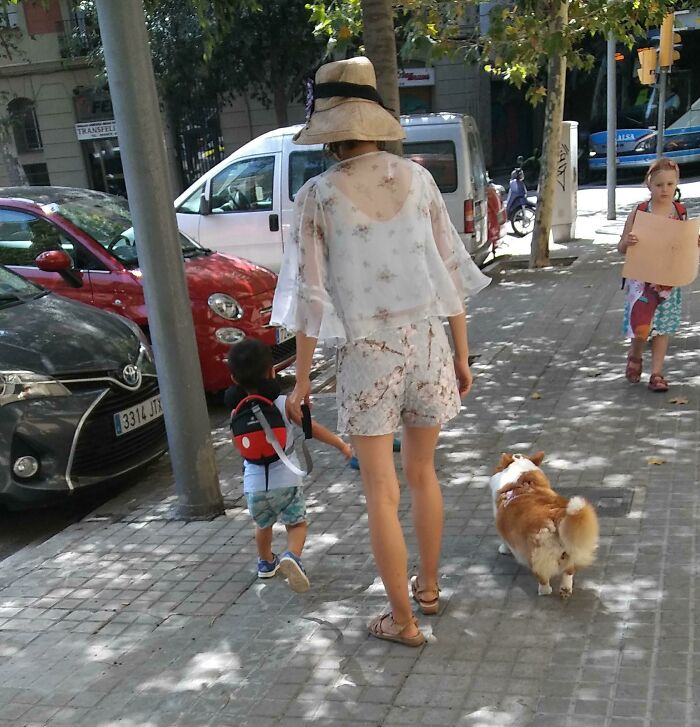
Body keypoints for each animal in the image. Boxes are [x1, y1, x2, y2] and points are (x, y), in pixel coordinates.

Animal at [490, 452, 600, 600]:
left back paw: (543, 591)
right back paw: (565, 589)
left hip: (536, 554)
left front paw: (503, 549)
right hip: (571, 549)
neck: (522, 482)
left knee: (543, 577)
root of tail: (556, 512)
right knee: (568, 572)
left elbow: (504, 540)